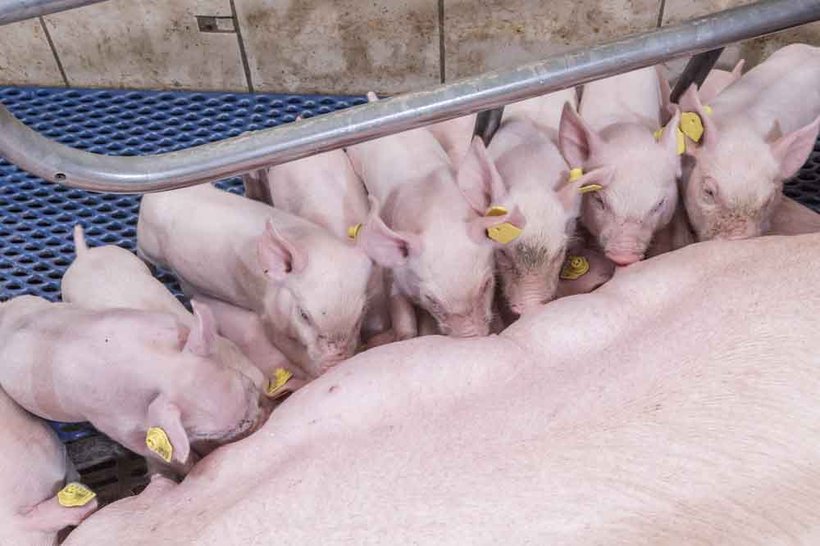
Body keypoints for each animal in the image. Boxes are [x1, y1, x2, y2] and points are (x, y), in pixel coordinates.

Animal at [0, 296, 261, 469]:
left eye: (245, 382)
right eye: (208, 432)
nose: (257, 420)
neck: (159, 368)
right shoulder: (113, 423)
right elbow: (149, 450)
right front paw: (192, 465)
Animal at [138, 184, 373, 378]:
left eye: (361, 312)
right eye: (304, 314)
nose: (338, 359)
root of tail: (153, 196)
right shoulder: (267, 314)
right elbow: (284, 345)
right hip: (148, 243)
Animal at [348, 95, 522, 338]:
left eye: (486, 285)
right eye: (433, 300)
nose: (472, 338)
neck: (437, 214)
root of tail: (373, 102)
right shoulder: (393, 274)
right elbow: (402, 316)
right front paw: (407, 336)